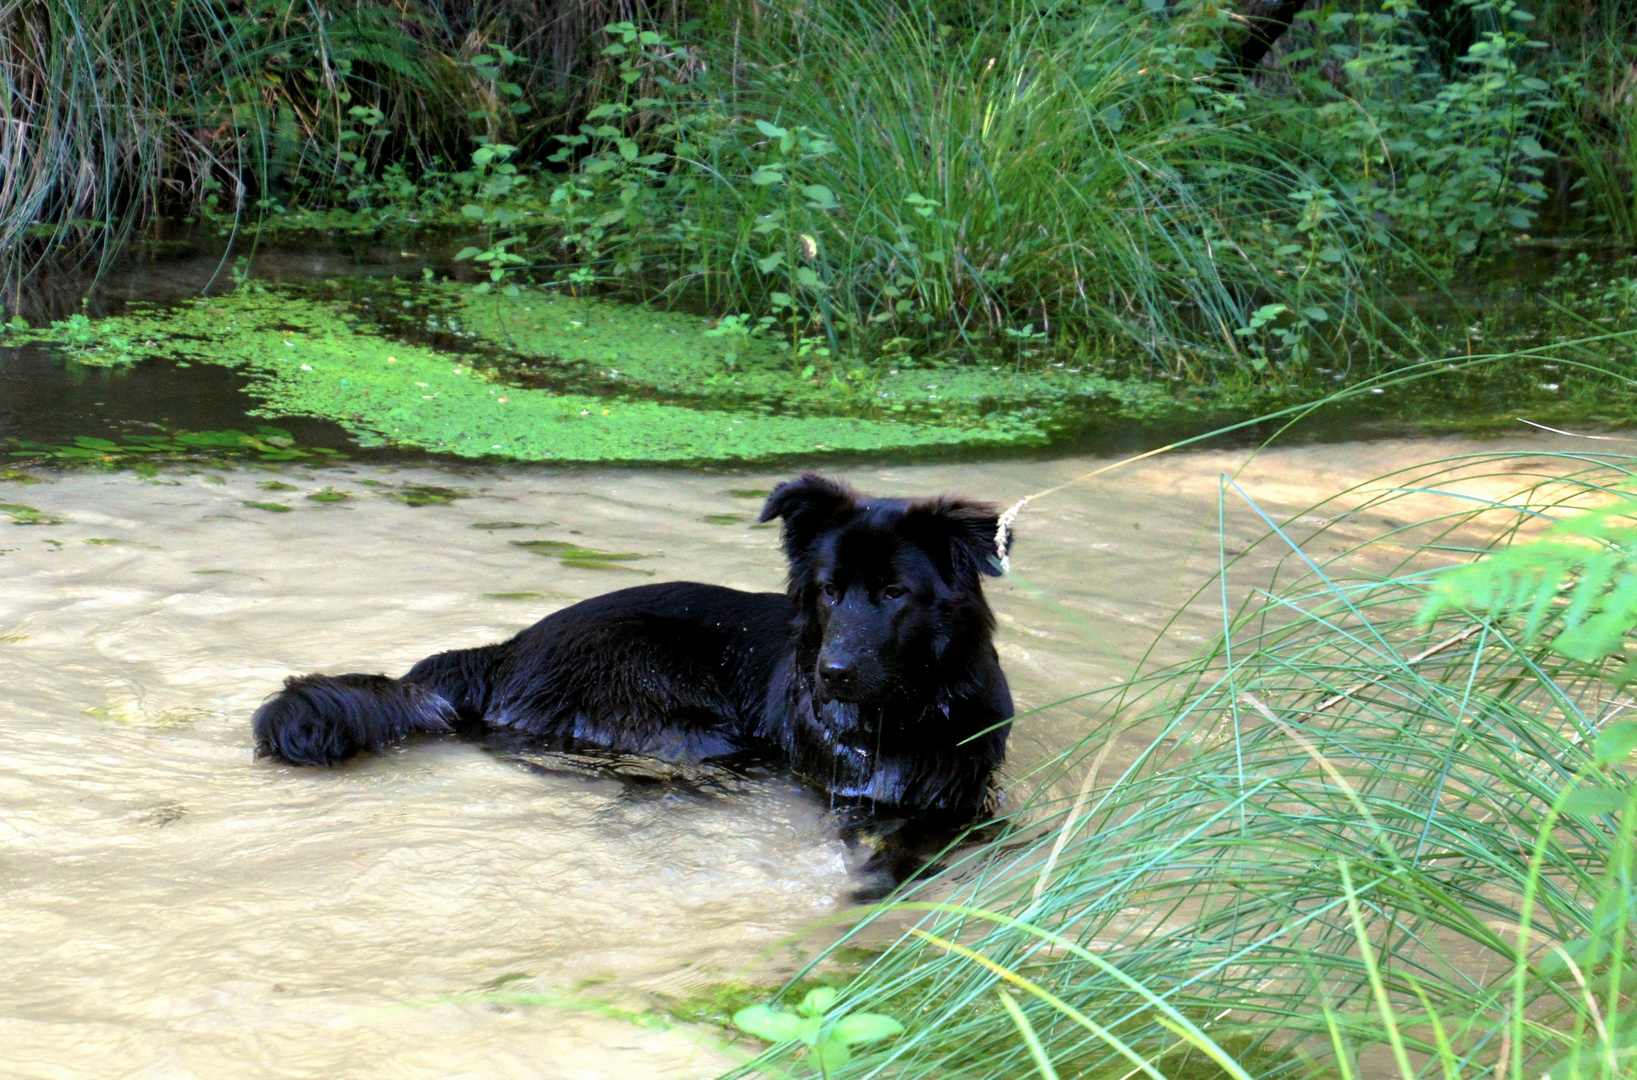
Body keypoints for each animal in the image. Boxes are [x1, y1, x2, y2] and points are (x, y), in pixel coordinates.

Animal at [253, 471, 1008, 818]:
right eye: (827, 590)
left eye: (893, 592)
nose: (833, 674)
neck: (896, 720)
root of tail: (507, 648)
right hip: (673, 701)